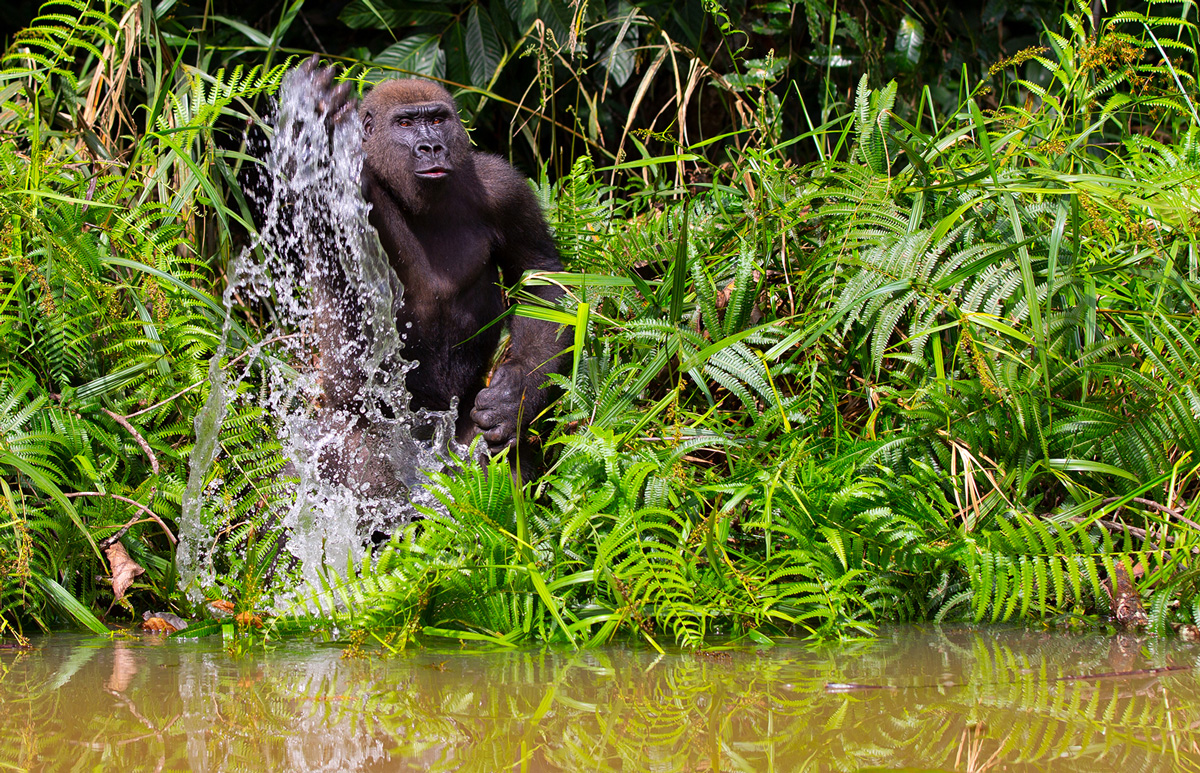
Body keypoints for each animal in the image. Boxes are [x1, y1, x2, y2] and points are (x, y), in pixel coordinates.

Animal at [292, 58, 568, 470]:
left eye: (437, 120)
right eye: (405, 124)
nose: (431, 147)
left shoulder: (504, 187)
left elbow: (542, 276)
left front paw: (514, 395)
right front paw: (320, 120)